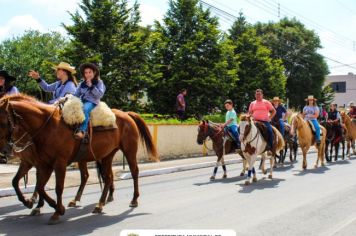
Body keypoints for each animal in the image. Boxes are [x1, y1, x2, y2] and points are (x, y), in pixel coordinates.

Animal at [0, 93, 159, 224]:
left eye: (3, 122)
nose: (4, 151)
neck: (48, 126)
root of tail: (126, 114)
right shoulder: (42, 164)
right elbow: (35, 185)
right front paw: (34, 204)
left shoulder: (58, 163)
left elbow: (57, 187)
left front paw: (57, 211)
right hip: (107, 155)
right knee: (106, 177)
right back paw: (99, 204)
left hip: (129, 151)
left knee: (134, 172)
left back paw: (133, 200)